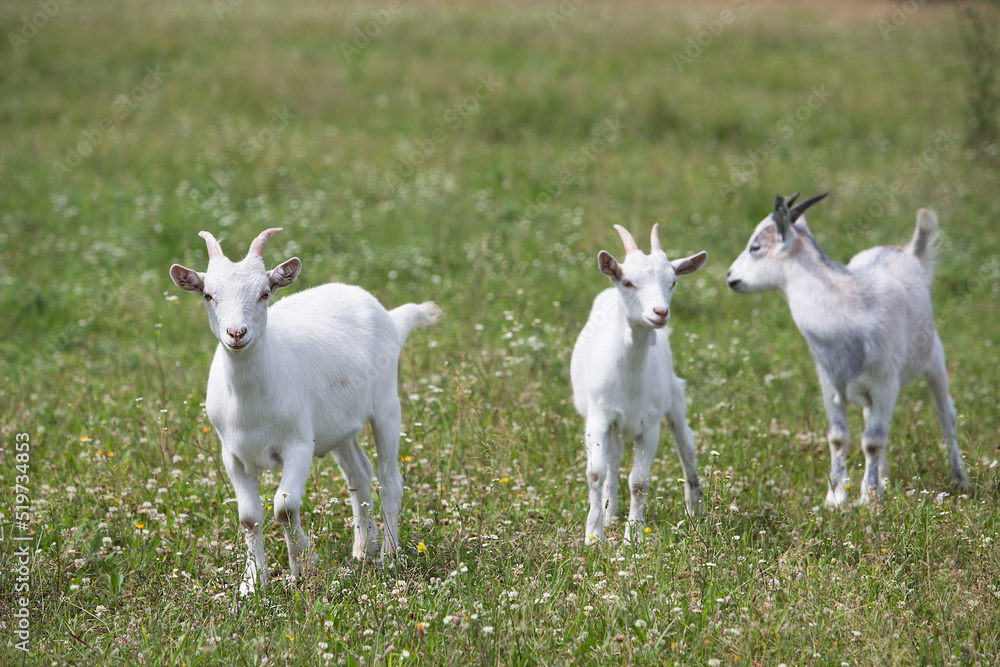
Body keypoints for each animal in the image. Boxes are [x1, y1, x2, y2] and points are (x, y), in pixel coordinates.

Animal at [170, 228, 442, 595]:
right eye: (208, 295)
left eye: (264, 293)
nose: (236, 333)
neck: (251, 401)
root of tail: (391, 317)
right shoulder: (233, 455)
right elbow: (249, 517)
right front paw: (253, 582)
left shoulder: (298, 445)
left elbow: (284, 507)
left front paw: (303, 564)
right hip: (338, 426)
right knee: (359, 473)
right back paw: (363, 548)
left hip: (386, 403)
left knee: (389, 478)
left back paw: (390, 554)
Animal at [570, 223, 708, 545]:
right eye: (628, 282)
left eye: (673, 282)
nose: (660, 312)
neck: (631, 377)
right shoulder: (599, 417)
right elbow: (596, 473)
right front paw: (594, 536)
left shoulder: (651, 423)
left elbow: (639, 481)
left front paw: (633, 535)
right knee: (613, 460)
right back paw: (609, 514)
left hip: (674, 398)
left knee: (686, 445)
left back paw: (695, 509)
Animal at [726, 193, 968, 505]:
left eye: (755, 247)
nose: (730, 276)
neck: (848, 312)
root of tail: (907, 253)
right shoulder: (831, 386)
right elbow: (838, 438)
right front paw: (837, 497)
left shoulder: (885, 385)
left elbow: (873, 442)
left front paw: (868, 500)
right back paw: (883, 478)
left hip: (934, 357)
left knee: (945, 413)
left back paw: (959, 479)